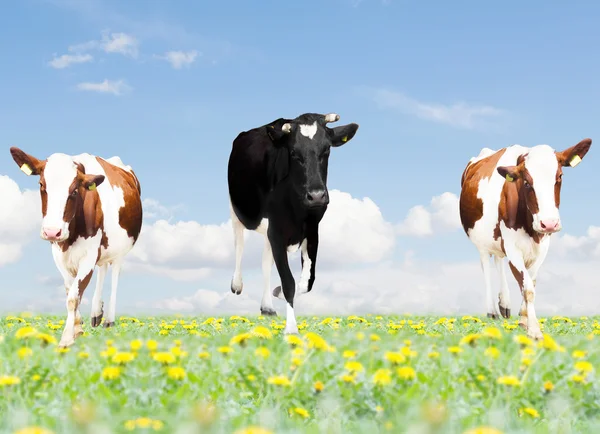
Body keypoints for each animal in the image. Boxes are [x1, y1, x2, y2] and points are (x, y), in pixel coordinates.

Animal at [9, 147, 143, 348]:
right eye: (41, 185)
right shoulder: (58, 254)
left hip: (121, 248)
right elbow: (70, 291)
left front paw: (66, 339)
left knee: (114, 272)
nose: (52, 231)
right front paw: (78, 327)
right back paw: (96, 313)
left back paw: (109, 320)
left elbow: (73, 296)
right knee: (103, 267)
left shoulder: (89, 255)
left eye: (74, 191)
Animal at [225, 111, 356, 332]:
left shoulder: (311, 230)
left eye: (327, 149)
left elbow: (307, 281)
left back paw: (267, 306)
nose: (317, 196)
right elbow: (288, 282)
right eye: (294, 153)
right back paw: (237, 284)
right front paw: (291, 329)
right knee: (239, 242)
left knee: (265, 261)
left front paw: (276, 292)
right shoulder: (277, 232)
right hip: (236, 207)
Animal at [460, 139, 592, 340]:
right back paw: (492, 311)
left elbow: (531, 282)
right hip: (480, 241)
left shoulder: (543, 246)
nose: (549, 223)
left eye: (559, 176)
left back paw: (504, 304)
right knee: (486, 267)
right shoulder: (513, 248)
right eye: (527, 182)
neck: (531, 229)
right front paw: (534, 330)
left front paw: (523, 319)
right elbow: (527, 287)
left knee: (498, 259)